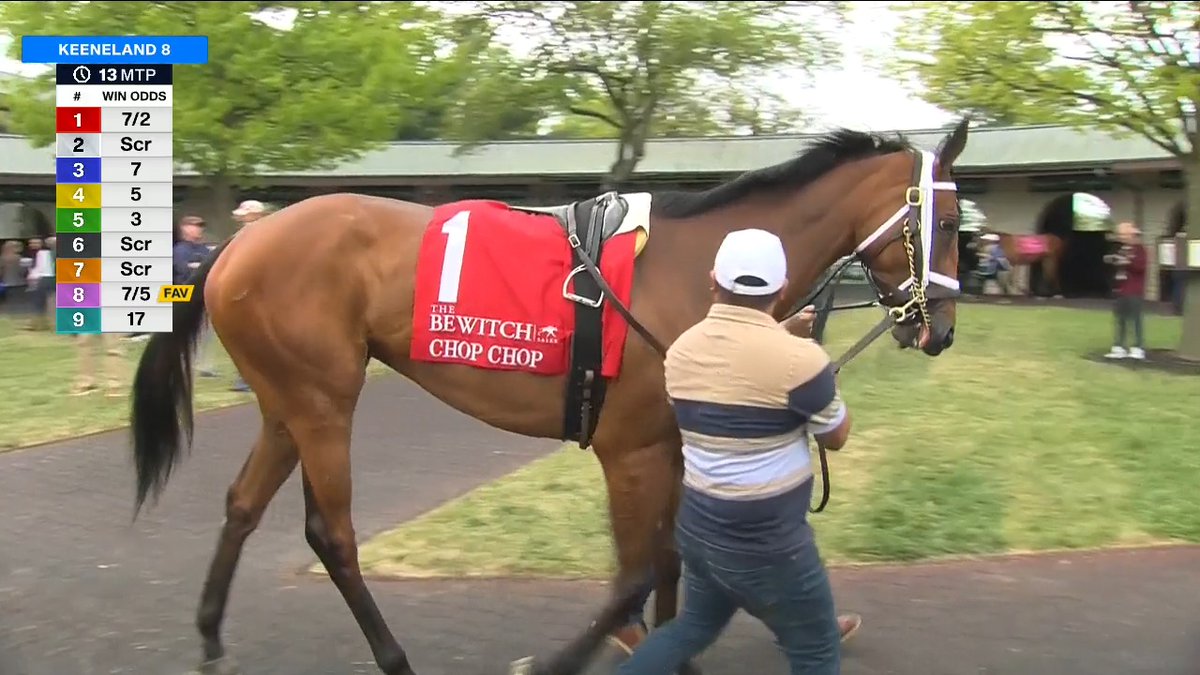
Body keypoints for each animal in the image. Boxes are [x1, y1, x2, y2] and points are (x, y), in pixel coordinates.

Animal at [129, 117, 974, 672]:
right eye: (949, 218)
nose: (940, 330)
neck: (701, 271)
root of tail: (238, 242)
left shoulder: (671, 442)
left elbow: (669, 561)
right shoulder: (628, 450)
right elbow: (634, 572)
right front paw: (571, 656)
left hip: (287, 402)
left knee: (244, 504)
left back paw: (210, 636)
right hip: (323, 400)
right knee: (330, 533)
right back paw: (392, 655)